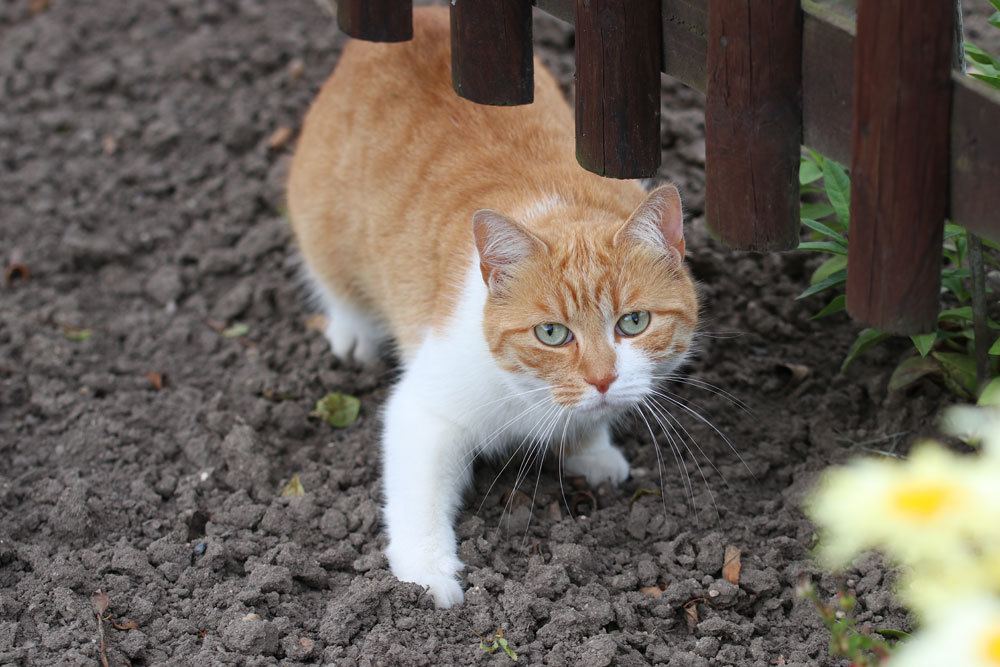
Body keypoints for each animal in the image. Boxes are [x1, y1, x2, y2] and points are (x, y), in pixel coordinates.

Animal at [286, 6, 700, 612]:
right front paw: (427, 576)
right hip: (322, 221)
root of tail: (426, 17)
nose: (602, 380)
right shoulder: (423, 412)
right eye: (552, 333)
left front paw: (592, 449)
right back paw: (353, 330)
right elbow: (418, 499)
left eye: (634, 322)